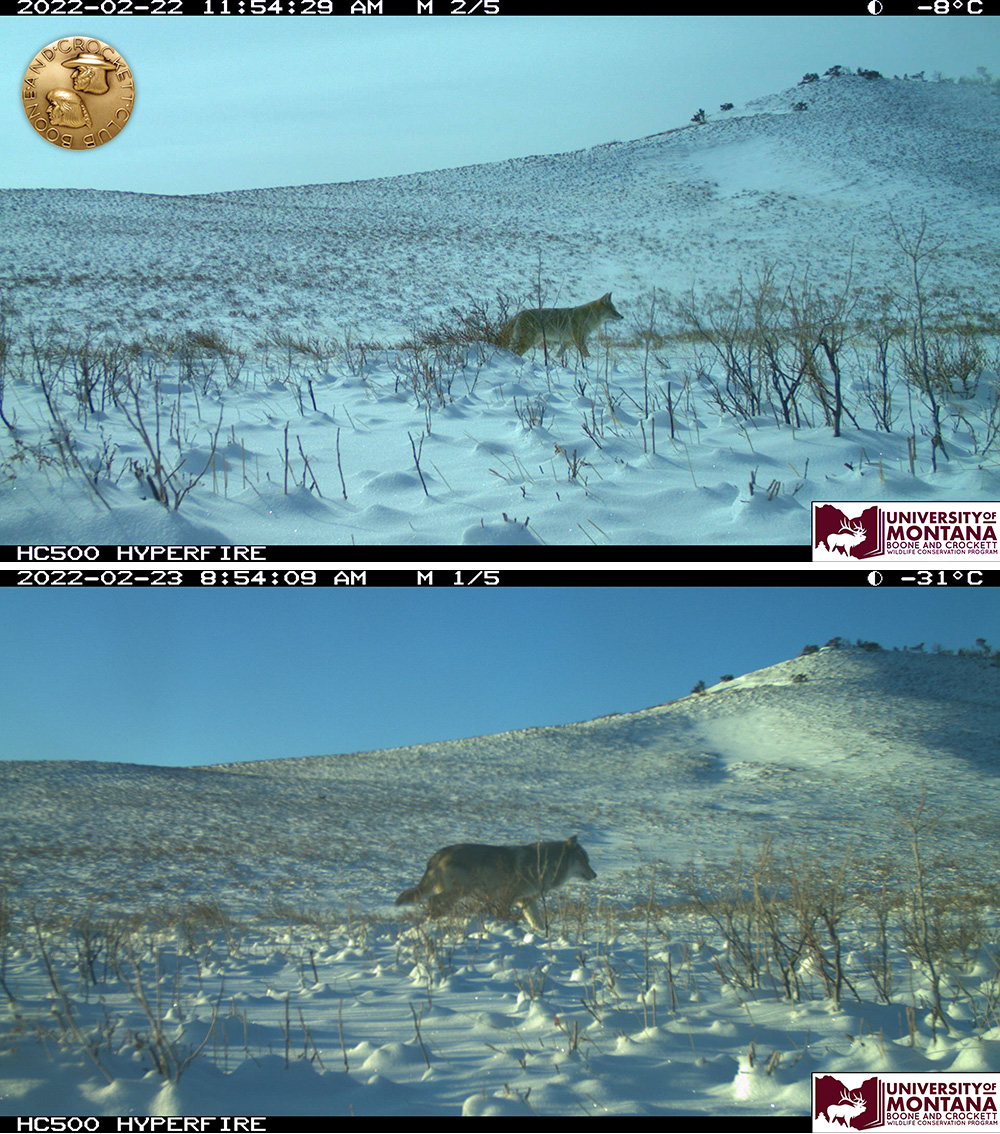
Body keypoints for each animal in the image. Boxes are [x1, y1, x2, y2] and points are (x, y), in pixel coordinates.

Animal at [395, 835, 597, 931]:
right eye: (585, 860)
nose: (595, 875)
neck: (544, 865)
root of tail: (438, 854)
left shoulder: (527, 901)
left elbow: (537, 923)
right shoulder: (506, 898)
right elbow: (505, 916)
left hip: (455, 894)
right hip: (459, 892)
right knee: (432, 900)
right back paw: (432, 920)